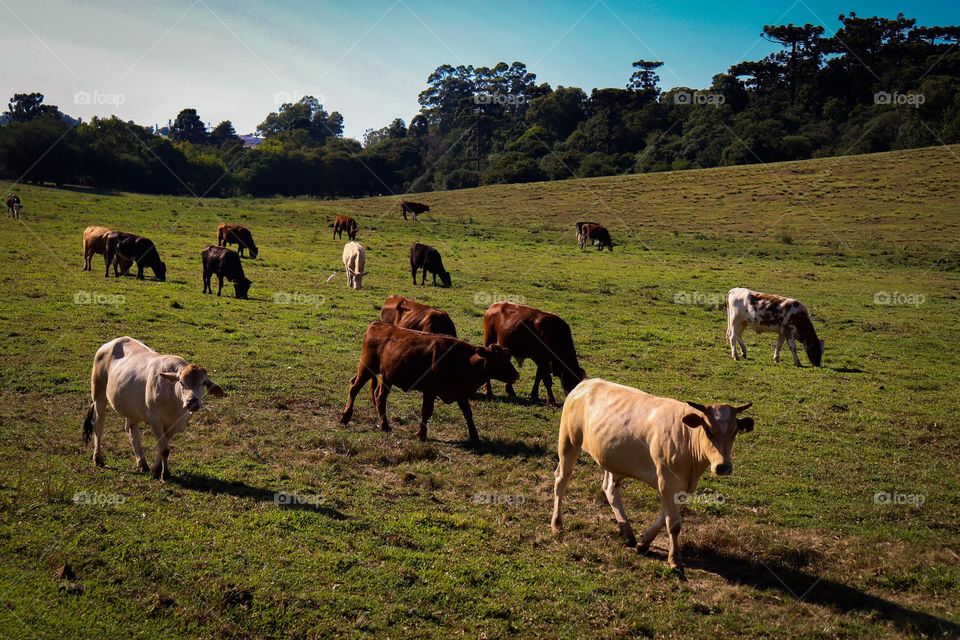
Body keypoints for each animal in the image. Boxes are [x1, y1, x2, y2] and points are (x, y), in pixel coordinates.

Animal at [82, 336, 225, 480]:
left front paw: (156, 470)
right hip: (99, 396)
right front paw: (164, 474)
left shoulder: (175, 425)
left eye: (204, 383)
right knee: (98, 426)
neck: (174, 401)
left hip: (131, 408)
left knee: (131, 430)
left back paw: (142, 463)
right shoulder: (154, 419)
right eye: (181, 382)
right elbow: (164, 449)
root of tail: (109, 344)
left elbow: (163, 447)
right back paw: (98, 458)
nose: (192, 401)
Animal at [340, 322, 519, 443]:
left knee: (380, 397)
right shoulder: (430, 390)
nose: (516, 375)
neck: (463, 360)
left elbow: (468, 413)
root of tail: (378, 324)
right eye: (498, 360)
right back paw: (345, 417)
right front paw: (421, 434)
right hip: (366, 368)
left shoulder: (460, 393)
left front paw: (475, 437)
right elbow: (426, 411)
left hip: (386, 376)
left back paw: (385, 425)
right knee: (354, 387)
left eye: (507, 358)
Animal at [551, 378, 754, 570]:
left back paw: (627, 532)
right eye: (708, 430)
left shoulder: (680, 487)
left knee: (610, 489)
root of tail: (585, 383)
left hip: (613, 458)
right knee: (561, 479)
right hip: (568, 441)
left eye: (735, 431)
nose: (723, 466)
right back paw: (557, 524)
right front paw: (674, 559)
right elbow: (673, 523)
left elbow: (665, 518)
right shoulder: (666, 481)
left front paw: (644, 543)